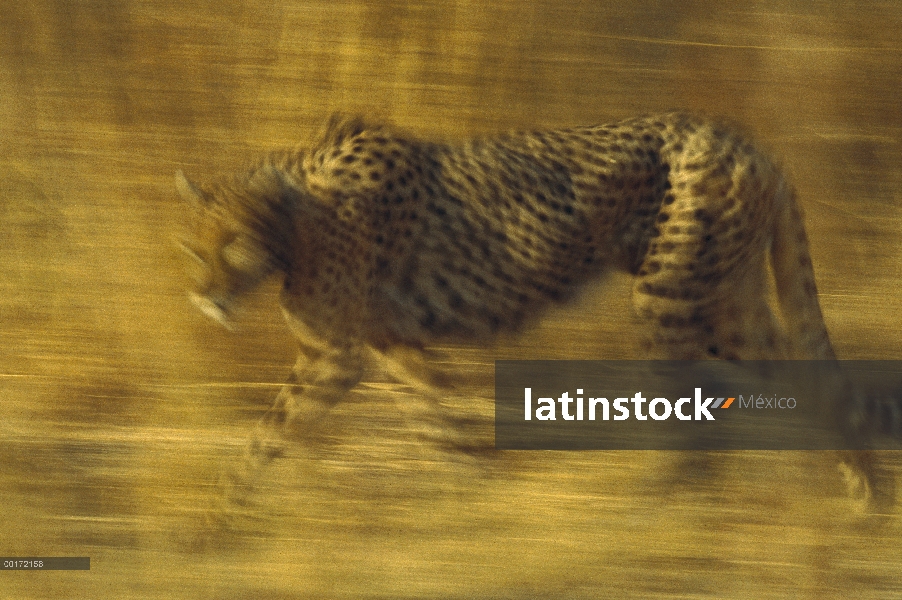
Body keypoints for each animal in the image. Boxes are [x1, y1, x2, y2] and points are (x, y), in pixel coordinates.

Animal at [175, 113, 888, 510]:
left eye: (231, 243)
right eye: (190, 246)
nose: (205, 297)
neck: (294, 218)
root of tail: (748, 143)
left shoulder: (355, 350)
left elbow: (283, 436)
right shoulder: (371, 349)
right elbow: (419, 429)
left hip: (672, 299)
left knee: (696, 420)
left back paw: (658, 507)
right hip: (724, 307)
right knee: (813, 379)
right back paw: (864, 494)